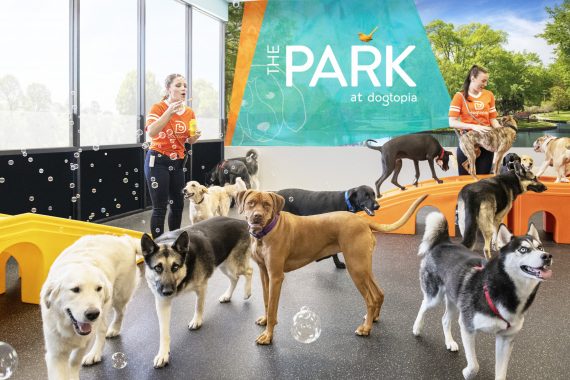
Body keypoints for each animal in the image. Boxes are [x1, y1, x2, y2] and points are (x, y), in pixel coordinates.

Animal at [39, 235, 139, 380]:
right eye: (75, 289)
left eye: (98, 288)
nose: (92, 314)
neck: (70, 327)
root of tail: (124, 239)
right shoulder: (55, 354)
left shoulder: (84, 341)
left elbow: (74, 360)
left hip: (118, 297)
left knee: (119, 314)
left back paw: (110, 333)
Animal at [139, 217, 251, 368]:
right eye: (158, 268)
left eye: (175, 267)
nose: (168, 292)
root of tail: (240, 221)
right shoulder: (162, 303)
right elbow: (164, 332)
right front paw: (163, 354)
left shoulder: (201, 287)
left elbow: (199, 306)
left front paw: (197, 321)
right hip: (224, 265)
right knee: (235, 278)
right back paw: (227, 295)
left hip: (234, 265)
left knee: (249, 271)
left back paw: (247, 292)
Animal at [235, 189, 426, 344]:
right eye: (251, 203)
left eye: (267, 205)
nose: (257, 216)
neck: (266, 232)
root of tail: (362, 221)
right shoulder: (264, 273)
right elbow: (266, 302)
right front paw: (265, 321)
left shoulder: (276, 276)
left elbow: (273, 308)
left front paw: (268, 335)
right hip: (364, 268)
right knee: (379, 293)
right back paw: (373, 319)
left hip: (356, 269)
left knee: (370, 299)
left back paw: (366, 328)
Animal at [412, 211, 552, 380]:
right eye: (523, 250)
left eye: (540, 247)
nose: (547, 256)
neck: (506, 291)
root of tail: (445, 242)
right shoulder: (467, 326)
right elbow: (474, 366)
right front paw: (467, 373)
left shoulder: (505, 339)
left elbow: (501, 373)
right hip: (435, 296)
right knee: (423, 305)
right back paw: (417, 328)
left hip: (454, 300)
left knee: (445, 319)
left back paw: (449, 342)